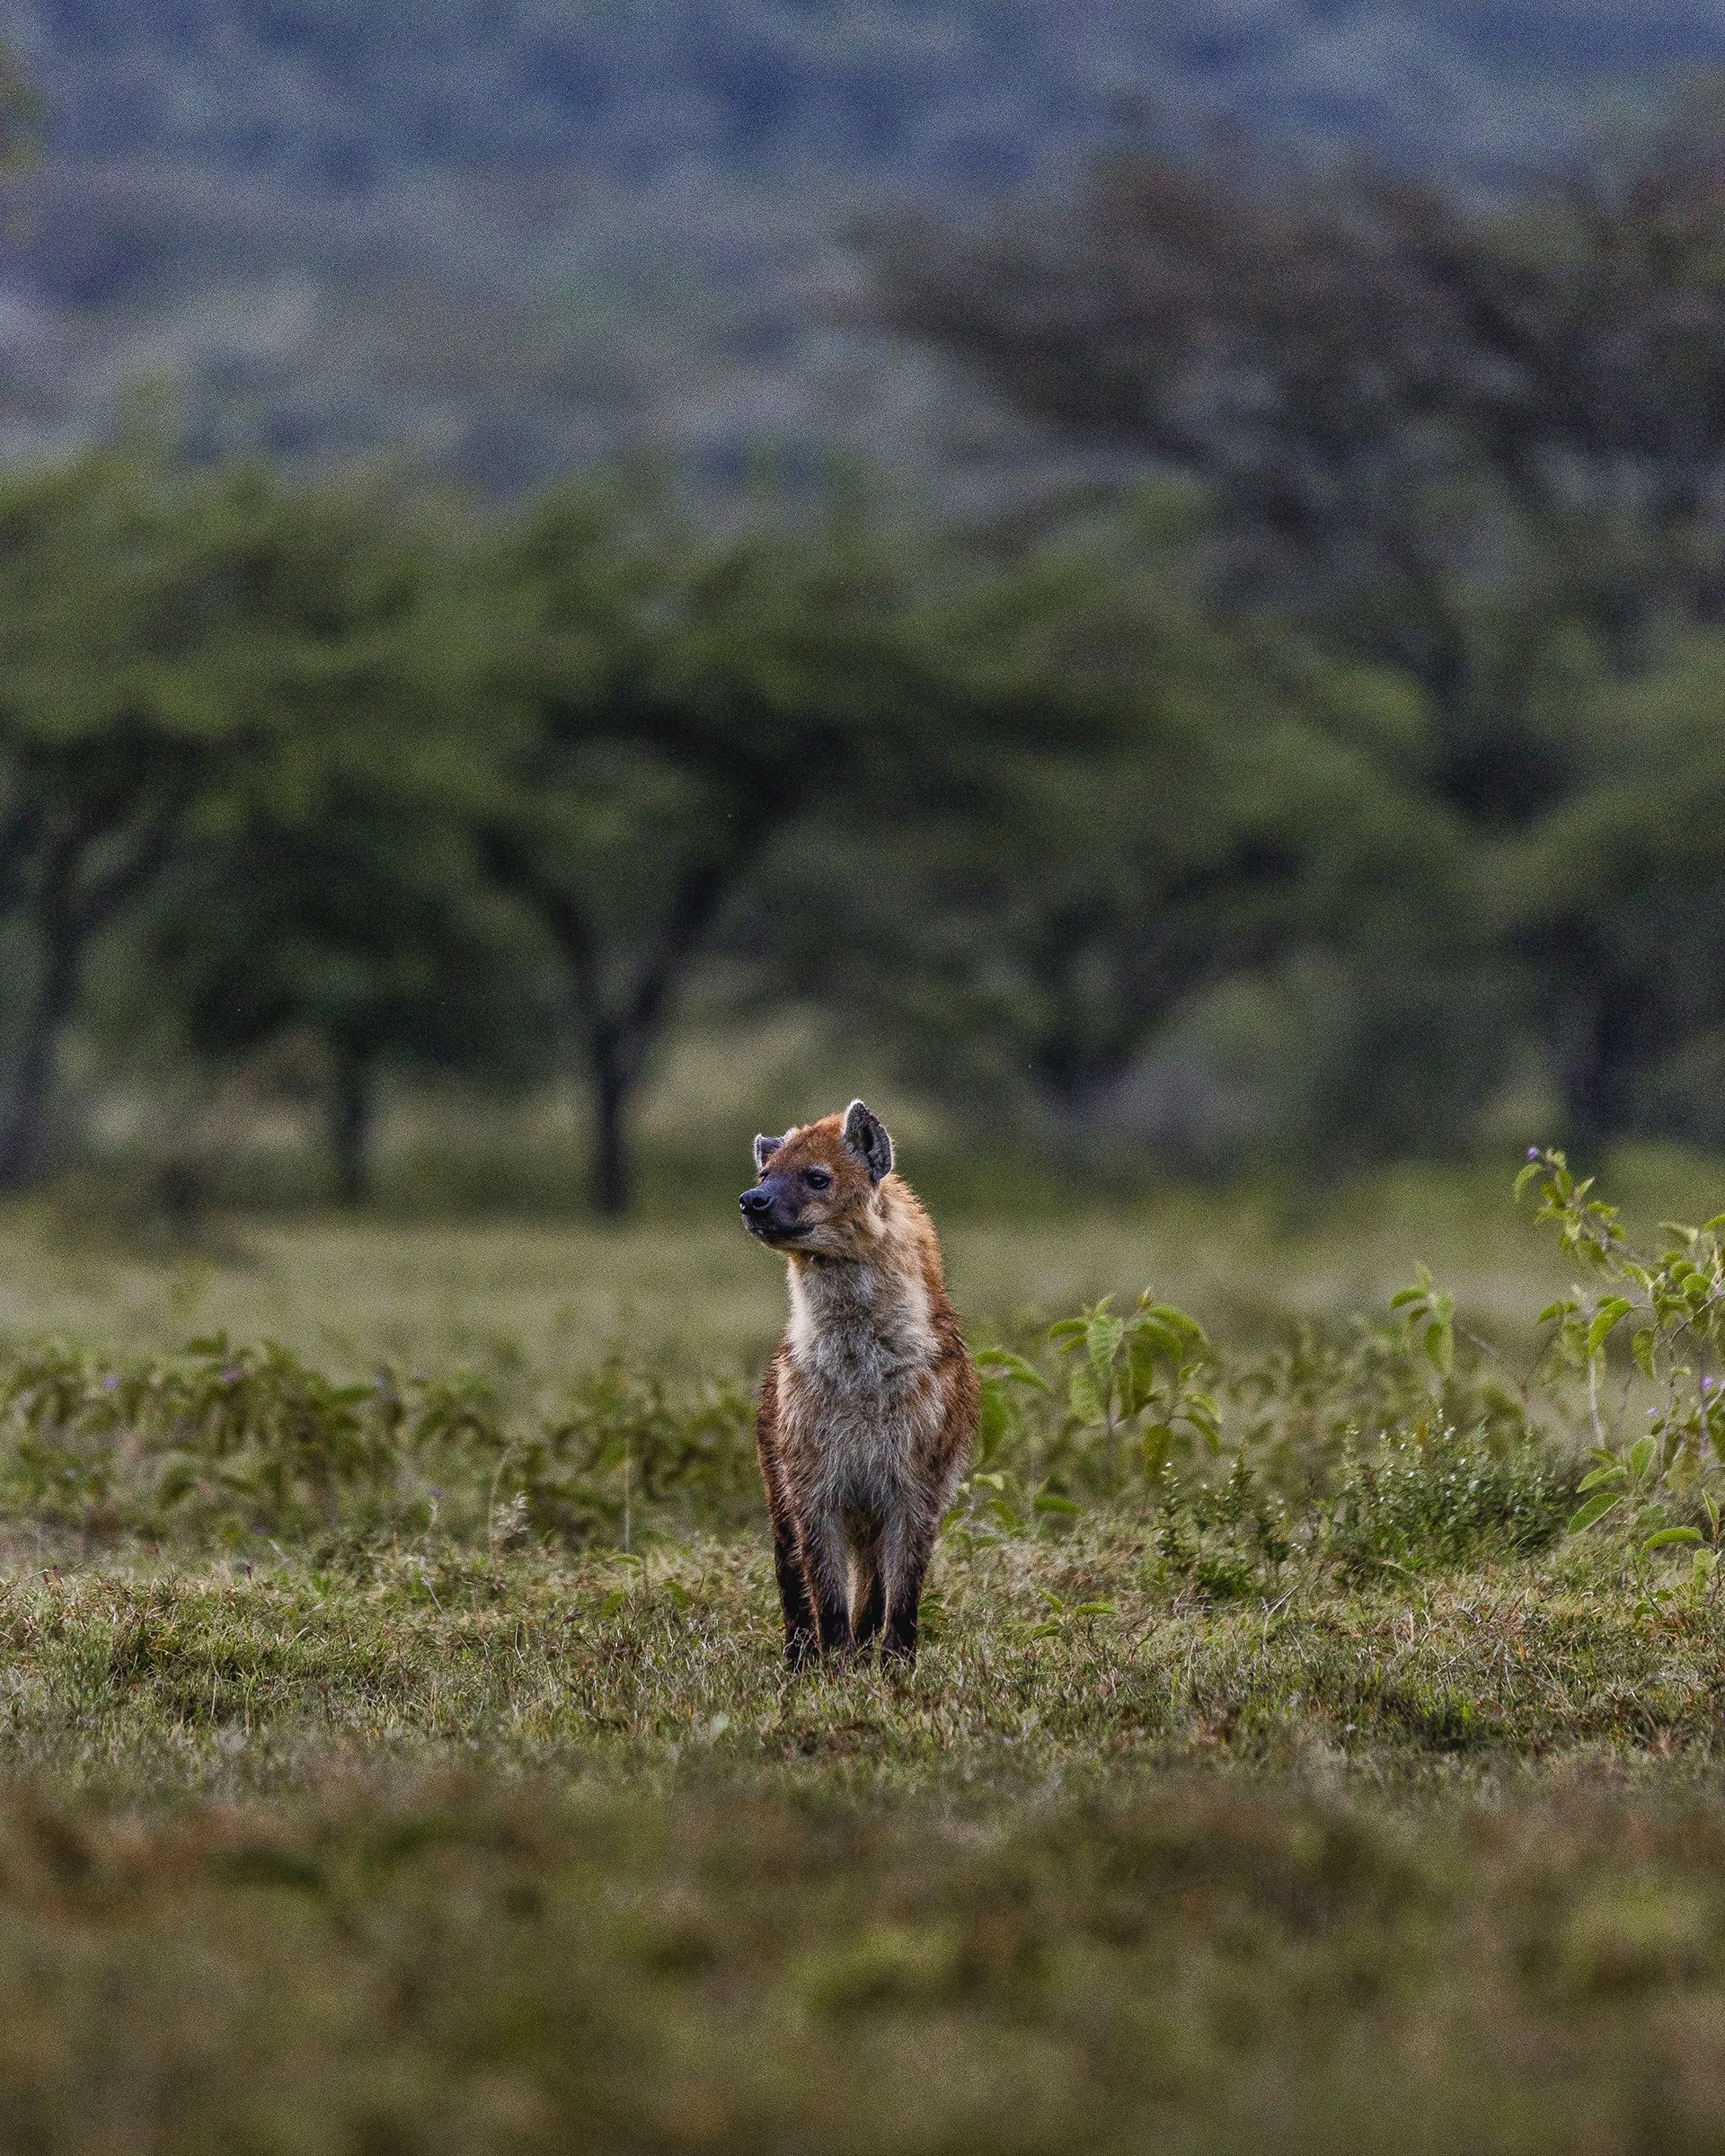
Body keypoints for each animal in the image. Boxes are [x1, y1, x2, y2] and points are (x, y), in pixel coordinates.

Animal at [740, 1099, 978, 1669]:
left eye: (817, 1177)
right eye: (764, 1175)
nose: (751, 1201)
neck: (860, 1368)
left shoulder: (919, 1475)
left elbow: (905, 1581)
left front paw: (896, 1662)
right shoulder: (809, 1474)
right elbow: (823, 1581)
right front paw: (835, 1664)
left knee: (873, 1574)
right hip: (776, 1472)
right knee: (791, 1566)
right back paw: (799, 1657)